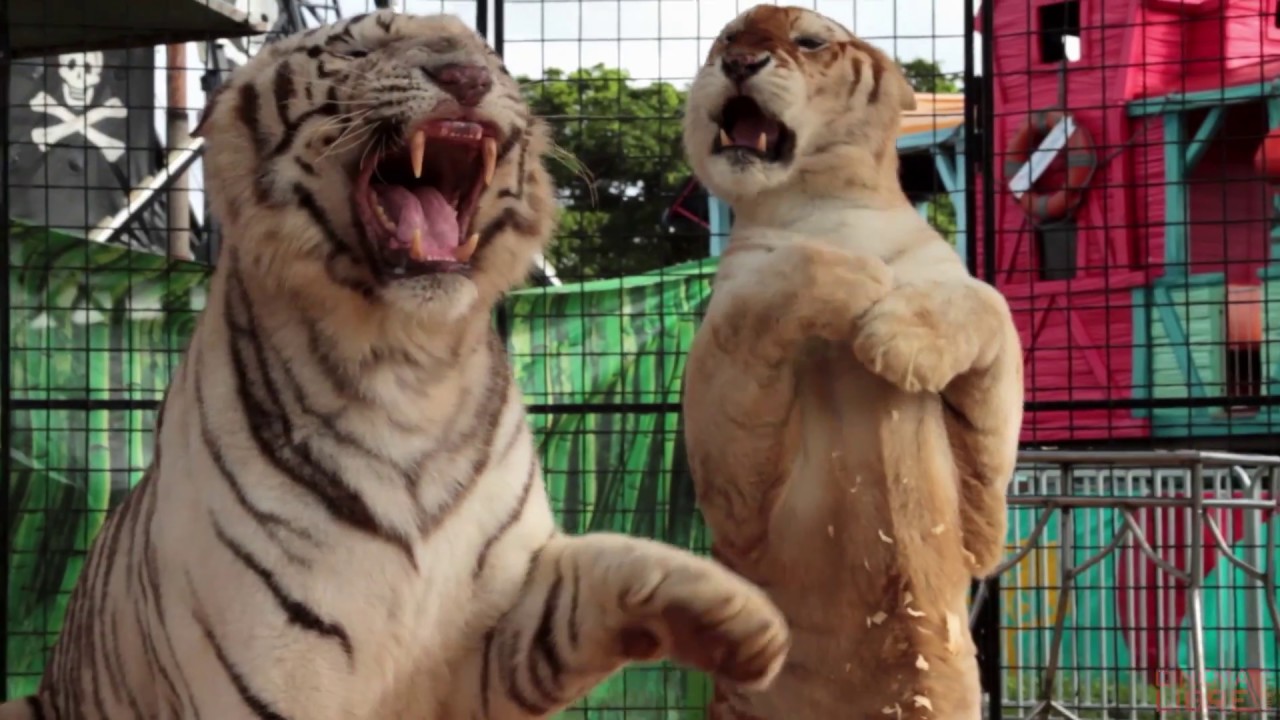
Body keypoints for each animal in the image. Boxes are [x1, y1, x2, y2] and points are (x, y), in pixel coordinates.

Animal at [0, 11, 791, 720]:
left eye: (488, 58)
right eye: (359, 49)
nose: (466, 77)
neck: (410, 364)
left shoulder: (494, 632)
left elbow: (599, 569)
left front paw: (747, 621)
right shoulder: (274, 665)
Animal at [679, 5, 1024, 720]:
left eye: (808, 42)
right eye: (727, 37)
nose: (738, 61)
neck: (823, 200)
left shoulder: (984, 516)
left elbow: (984, 299)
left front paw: (897, 331)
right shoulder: (733, 494)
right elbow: (770, 285)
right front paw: (860, 281)